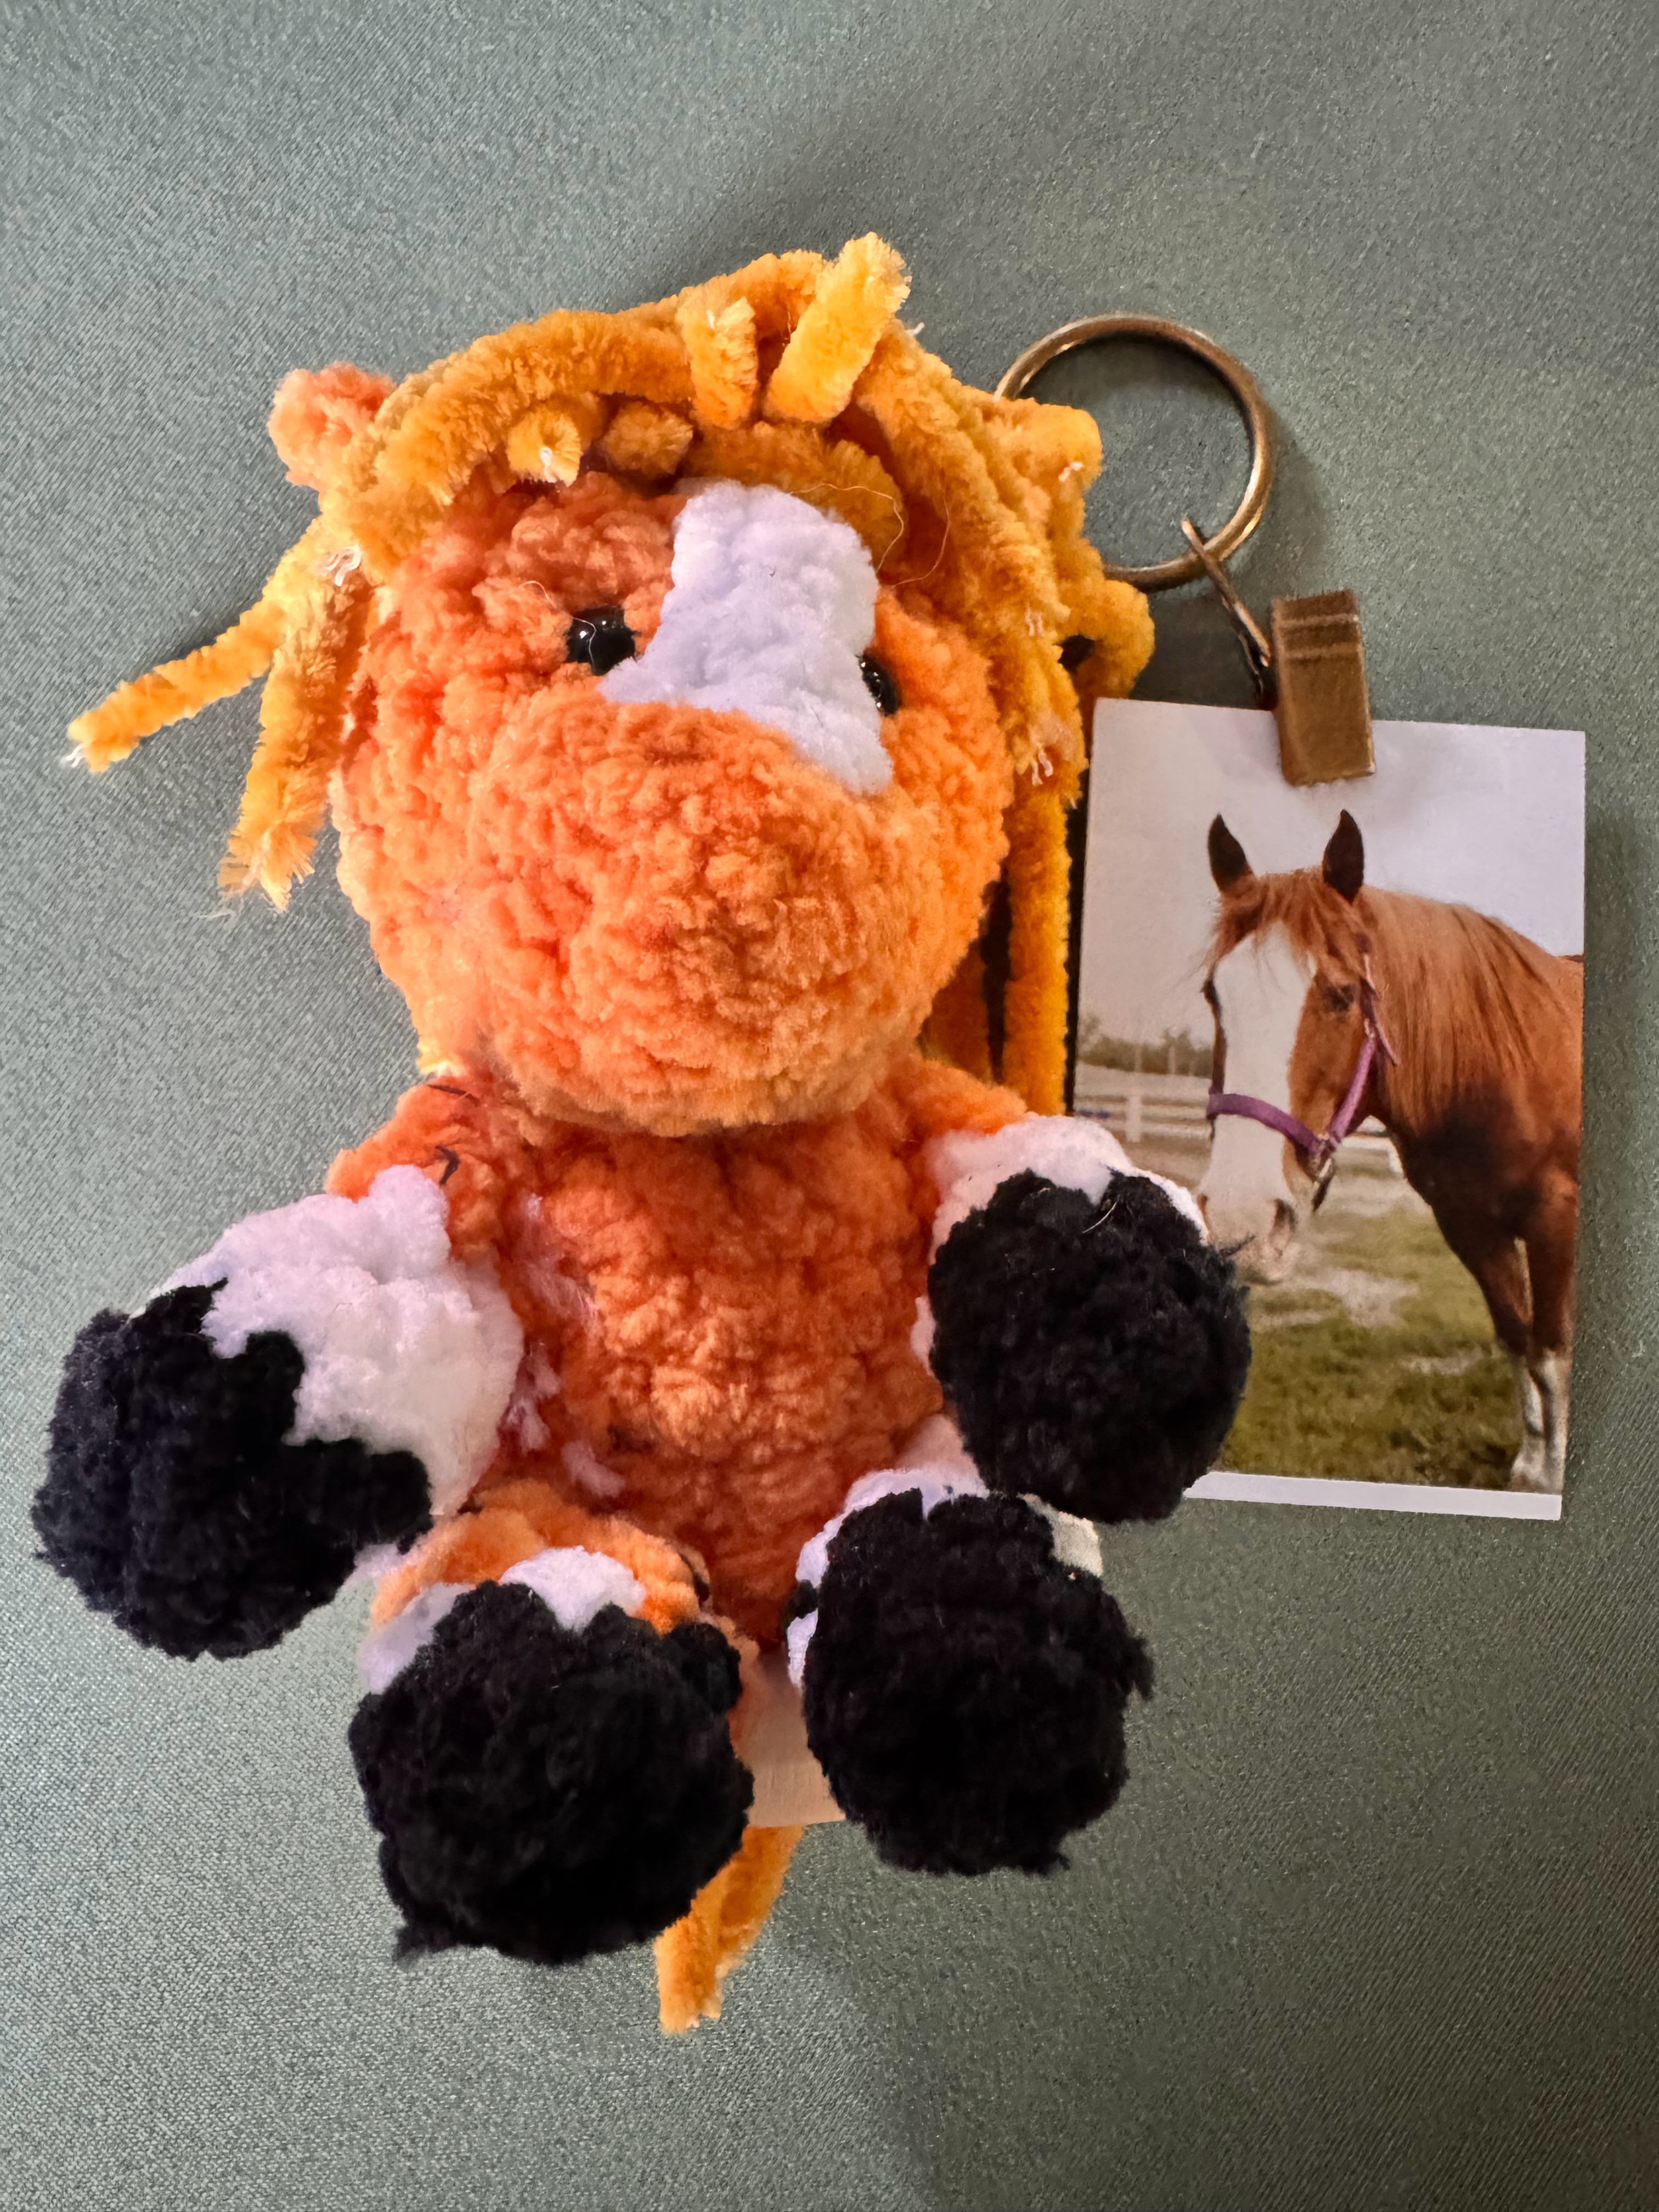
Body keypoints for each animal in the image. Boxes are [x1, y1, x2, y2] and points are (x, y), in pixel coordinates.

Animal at [1196, 810, 1582, 1493]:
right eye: (1215, 996)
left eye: (1344, 996)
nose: (1243, 1223)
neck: (1499, 1067)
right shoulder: (1470, 1229)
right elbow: (1517, 1338)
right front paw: (1532, 1463)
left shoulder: (1553, 1221)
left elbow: (1549, 1350)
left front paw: (1552, 1474)